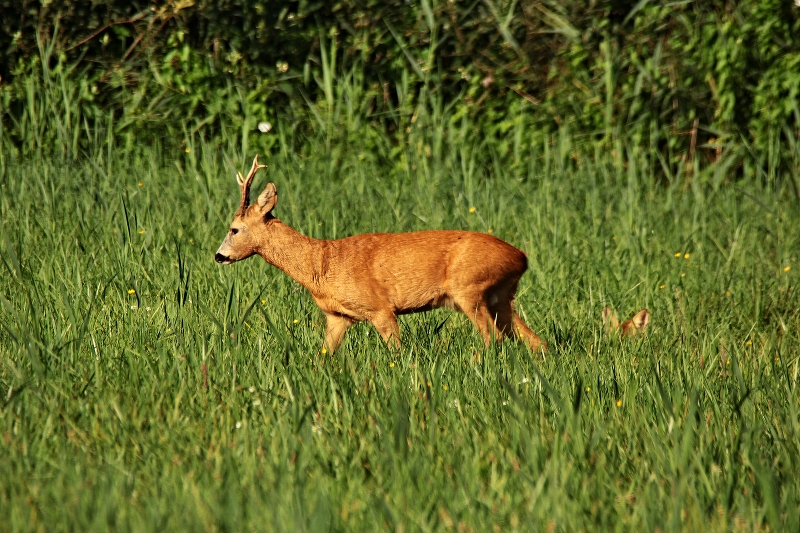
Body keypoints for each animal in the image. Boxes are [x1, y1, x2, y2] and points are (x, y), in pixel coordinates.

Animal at [216, 154, 548, 354]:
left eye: (234, 229)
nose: (219, 256)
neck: (321, 264)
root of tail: (522, 256)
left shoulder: (380, 307)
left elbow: (397, 352)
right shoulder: (338, 316)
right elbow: (323, 355)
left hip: (469, 287)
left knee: (493, 338)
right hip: (501, 295)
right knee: (534, 340)